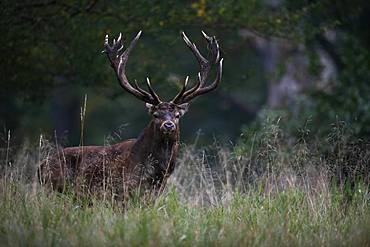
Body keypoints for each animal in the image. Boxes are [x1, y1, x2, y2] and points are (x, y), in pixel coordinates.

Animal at [40, 30, 223, 201]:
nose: (168, 125)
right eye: (155, 115)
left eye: (177, 115)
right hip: (55, 189)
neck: (156, 175)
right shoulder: (121, 192)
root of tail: (40, 166)